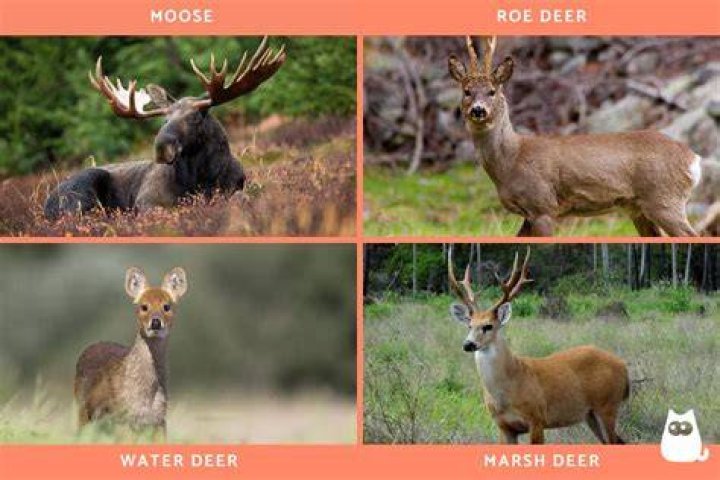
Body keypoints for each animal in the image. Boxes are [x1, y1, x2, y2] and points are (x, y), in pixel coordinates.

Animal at [45, 36, 285, 221]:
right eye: (164, 119)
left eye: (195, 117)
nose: (162, 146)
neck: (202, 179)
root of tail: (46, 205)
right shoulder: (146, 201)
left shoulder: (236, 187)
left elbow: (241, 197)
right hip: (81, 192)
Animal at [73, 267, 188, 441]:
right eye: (143, 306)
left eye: (167, 306)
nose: (156, 322)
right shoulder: (124, 419)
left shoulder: (159, 420)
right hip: (83, 410)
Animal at [447, 247, 629, 444]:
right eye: (469, 325)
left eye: (488, 326)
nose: (468, 344)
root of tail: (623, 367)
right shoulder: (504, 426)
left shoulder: (537, 418)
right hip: (590, 414)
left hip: (607, 405)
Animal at [448, 36, 702, 237]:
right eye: (466, 92)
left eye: (492, 91)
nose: (478, 110)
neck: (512, 160)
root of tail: (693, 159)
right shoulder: (528, 215)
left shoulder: (543, 205)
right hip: (639, 208)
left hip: (664, 198)